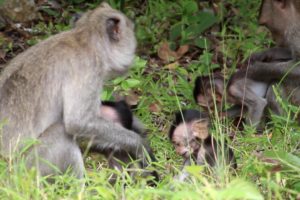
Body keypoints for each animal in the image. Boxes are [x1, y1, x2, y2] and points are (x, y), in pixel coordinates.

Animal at [0, 2, 155, 178]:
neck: (85, 39)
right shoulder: (88, 69)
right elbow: (77, 123)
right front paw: (139, 145)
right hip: (26, 169)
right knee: (61, 132)